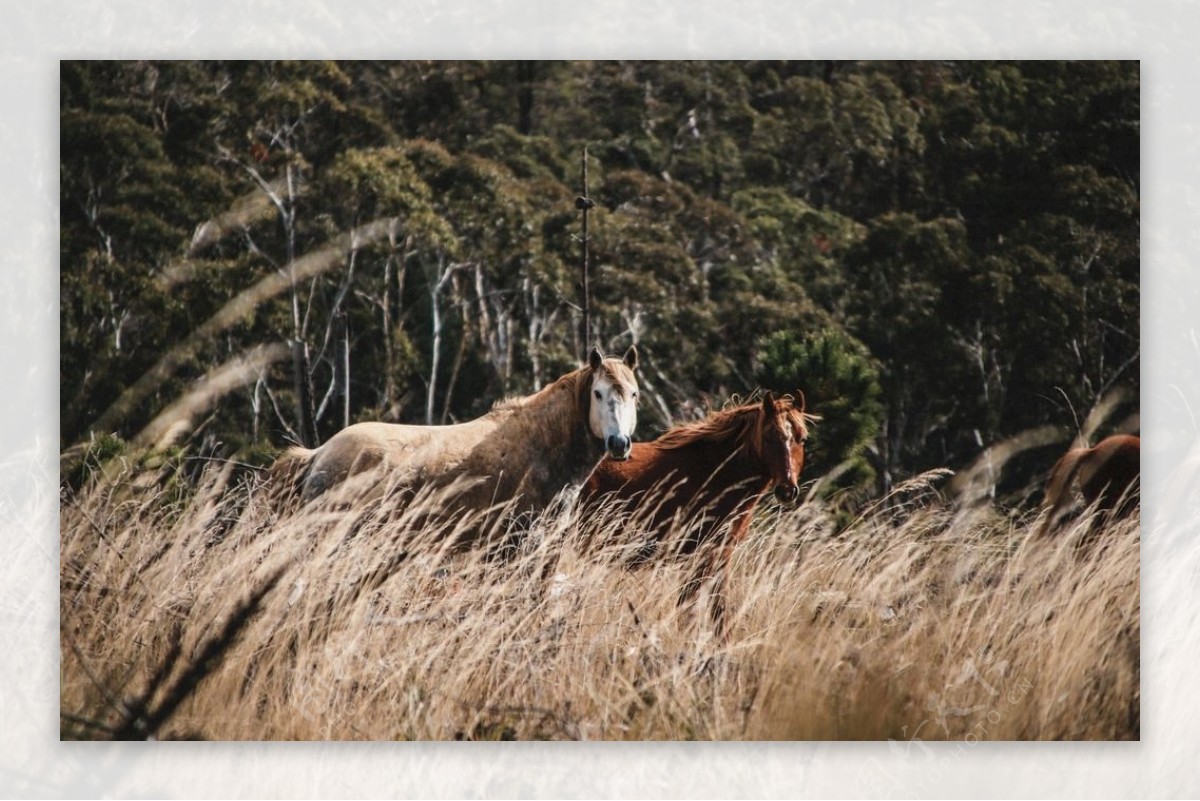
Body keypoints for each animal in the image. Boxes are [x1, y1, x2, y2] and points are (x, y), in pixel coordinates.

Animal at [576, 390, 811, 633]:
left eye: (801, 438)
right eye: (769, 437)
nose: (787, 490)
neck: (718, 475)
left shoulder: (721, 554)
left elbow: (717, 611)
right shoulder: (699, 556)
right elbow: (690, 610)